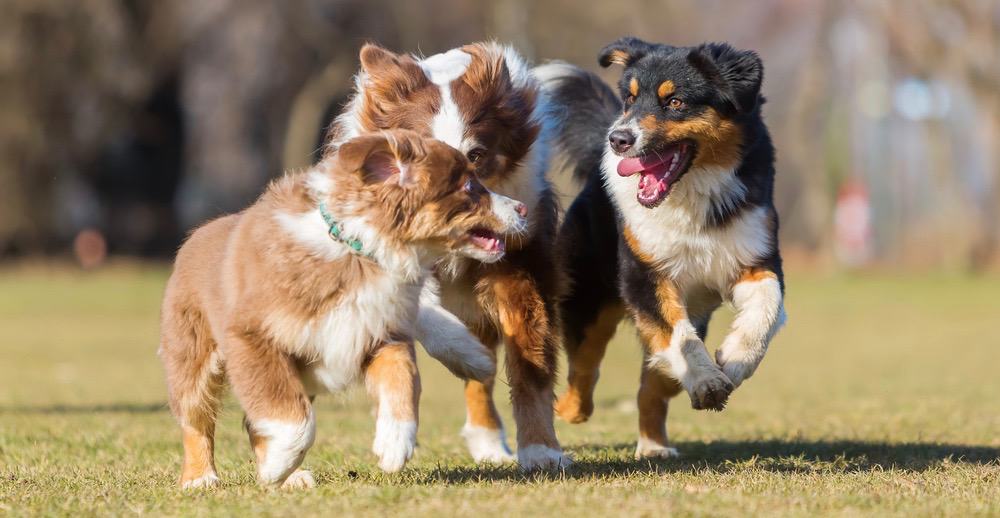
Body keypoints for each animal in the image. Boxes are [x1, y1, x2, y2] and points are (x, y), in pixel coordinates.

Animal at [160, 131, 528, 492]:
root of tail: (198, 232)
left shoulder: (379, 332)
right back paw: (201, 478)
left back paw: (291, 477)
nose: (523, 208)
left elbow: (403, 378)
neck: (359, 253)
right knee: (196, 419)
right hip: (192, 354)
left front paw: (394, 444)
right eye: (469, 187)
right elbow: (291, 416)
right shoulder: (251, 337)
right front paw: (276, 464)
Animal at [536, 36, 784, 460]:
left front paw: (734, 361)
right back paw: (567, 410)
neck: (691, 198)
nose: (618, 139)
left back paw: (654, 447)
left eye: (675, 102)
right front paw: (708, 381)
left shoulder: (756, 258)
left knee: (652, 386)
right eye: (630, 99)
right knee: (583, 373)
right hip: (588, 300)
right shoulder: (646, 274)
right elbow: (681, 340)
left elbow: (765, 310)